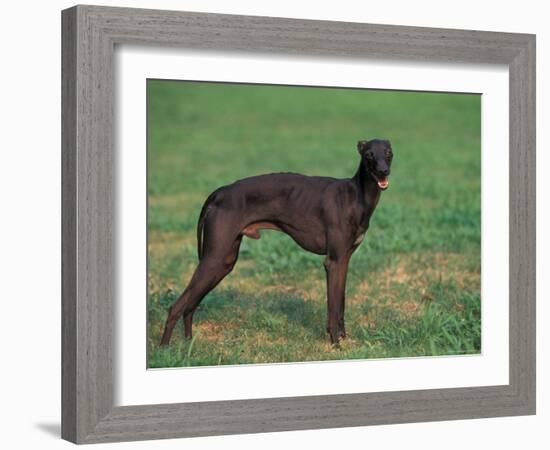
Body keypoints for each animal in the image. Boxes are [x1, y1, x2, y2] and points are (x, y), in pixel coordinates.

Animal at [162, 138, 394, 344]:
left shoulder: (344, 261)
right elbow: (333, 306)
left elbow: (341, 304)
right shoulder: (333, 262)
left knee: (190, 306)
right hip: (213, 258)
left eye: (388, 153)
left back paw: (188, 343)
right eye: (369, 154)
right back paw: (165, 349)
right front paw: (335, 342)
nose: (383, 171)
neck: (356, 197)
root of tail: (220, 192)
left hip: (223, 262)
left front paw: (344, 339)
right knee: (176, 307)